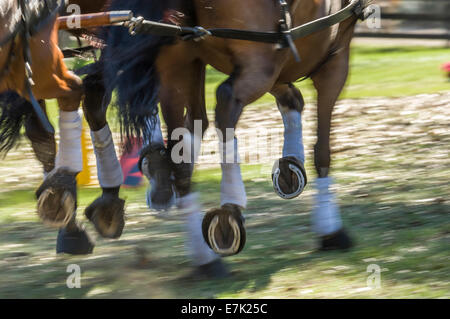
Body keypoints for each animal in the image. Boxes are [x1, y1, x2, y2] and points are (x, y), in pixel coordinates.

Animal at [100, 0, 360, 278]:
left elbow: (291, 99)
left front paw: (290, 166)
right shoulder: (332, 61)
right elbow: (322, 149)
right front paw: (331, 232)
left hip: (177, 61)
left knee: (183, 140)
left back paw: (202, 253)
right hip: (259, 64)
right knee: (225, 103)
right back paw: (229, 211)